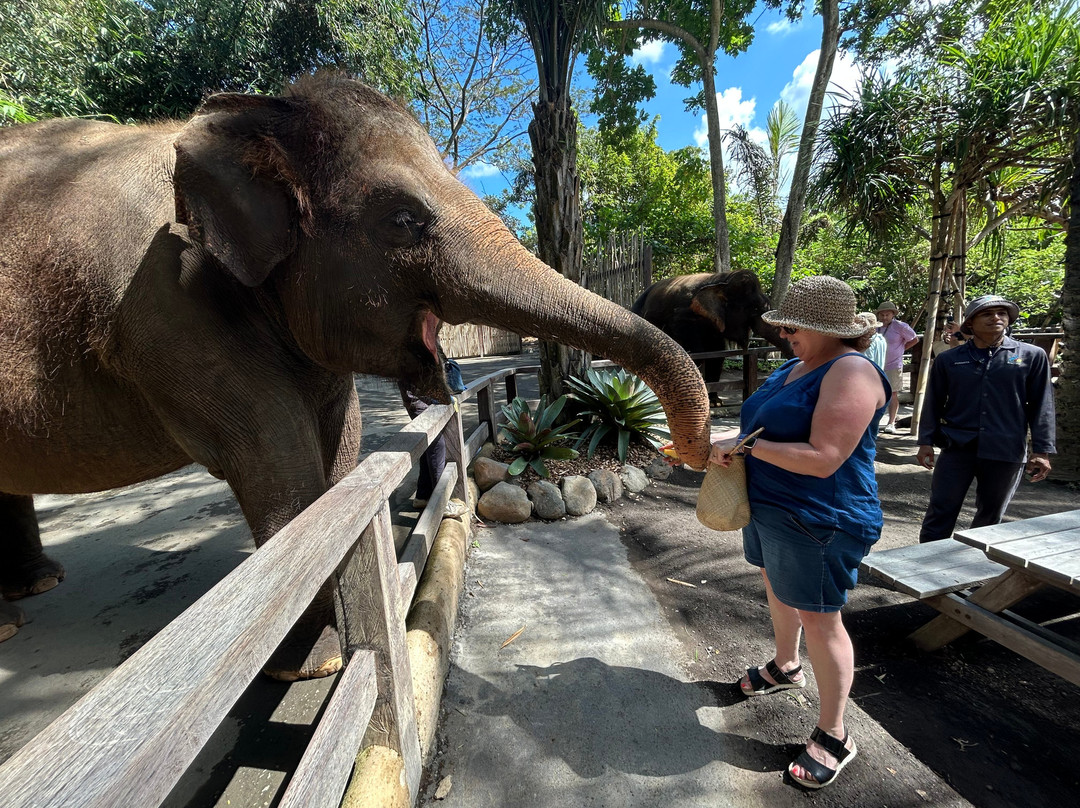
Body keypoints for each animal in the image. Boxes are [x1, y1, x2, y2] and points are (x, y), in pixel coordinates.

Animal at [0, 73, 711, 678]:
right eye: (401, 220)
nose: (689, 452)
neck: (255, 115)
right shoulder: (169, 314)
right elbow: (276, 462)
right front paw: (313, 664)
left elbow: (340, 446)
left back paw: (36, 585)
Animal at [631, 271, 791, 404]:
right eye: (754, 309)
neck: (722, 281)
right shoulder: (684, 317)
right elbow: (696, 352)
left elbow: (717, 355)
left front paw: (715, 402)